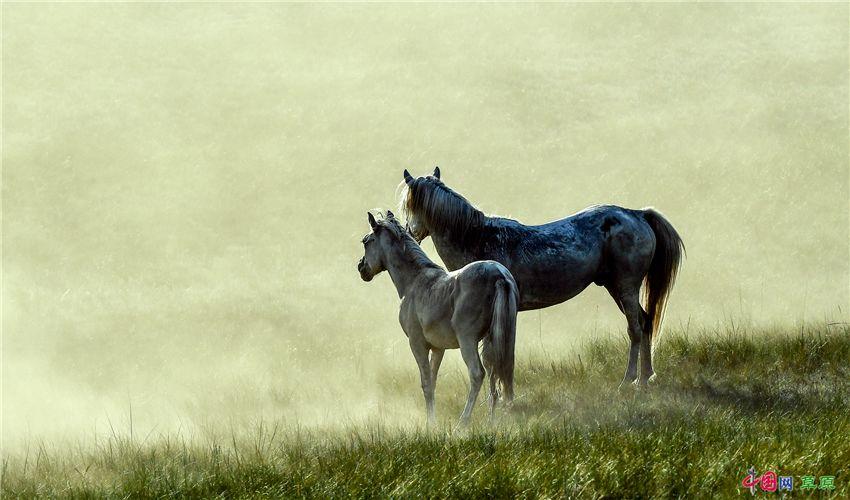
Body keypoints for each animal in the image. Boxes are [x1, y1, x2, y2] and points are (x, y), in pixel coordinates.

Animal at [356, 211, 516, 426]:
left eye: (366, 241)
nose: (361, 267)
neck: (414, 281)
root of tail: (499, 275)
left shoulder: (417, 344)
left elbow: (425, 383)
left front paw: (430, 424)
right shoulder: (439, 348)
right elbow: (432, 381)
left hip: (468, 340)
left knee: (478, 374)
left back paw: (463, 423)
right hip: (493, 339)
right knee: (496, 376)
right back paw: (492, 423)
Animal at [398, 168, 684, 386]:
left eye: (410, 205)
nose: (409, 233)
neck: (478, 239)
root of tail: (638, 214)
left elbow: (492, 357)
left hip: (626, 286)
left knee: (635, 328)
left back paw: (628, 381)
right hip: (617, 288)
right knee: (645, 323)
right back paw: (646, 378)